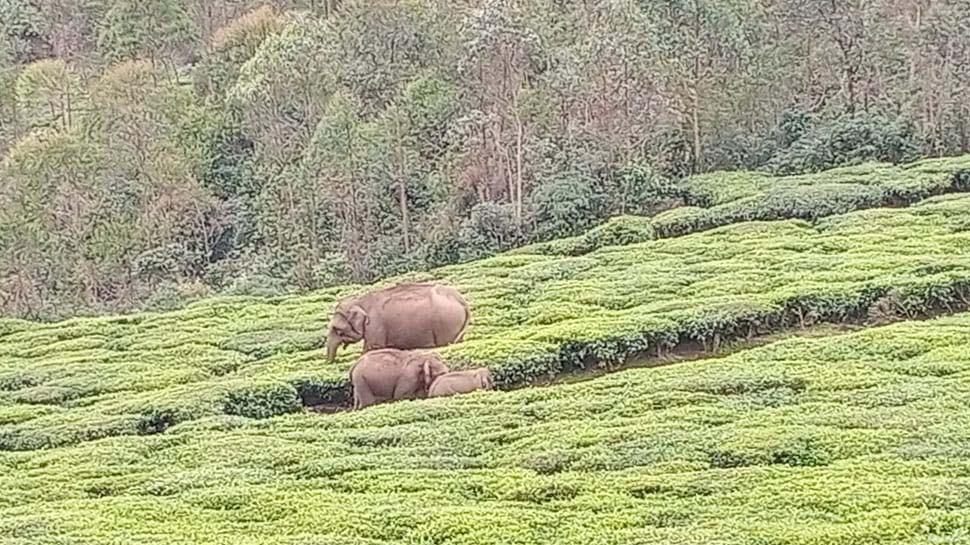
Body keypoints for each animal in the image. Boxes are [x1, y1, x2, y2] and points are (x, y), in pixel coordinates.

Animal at [325, 282, 470, 362]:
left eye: (337, 329)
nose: (330, 362)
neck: (359, 301)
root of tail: (461, 300)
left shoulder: (375, 326)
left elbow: (372, 349)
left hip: (446, 323)